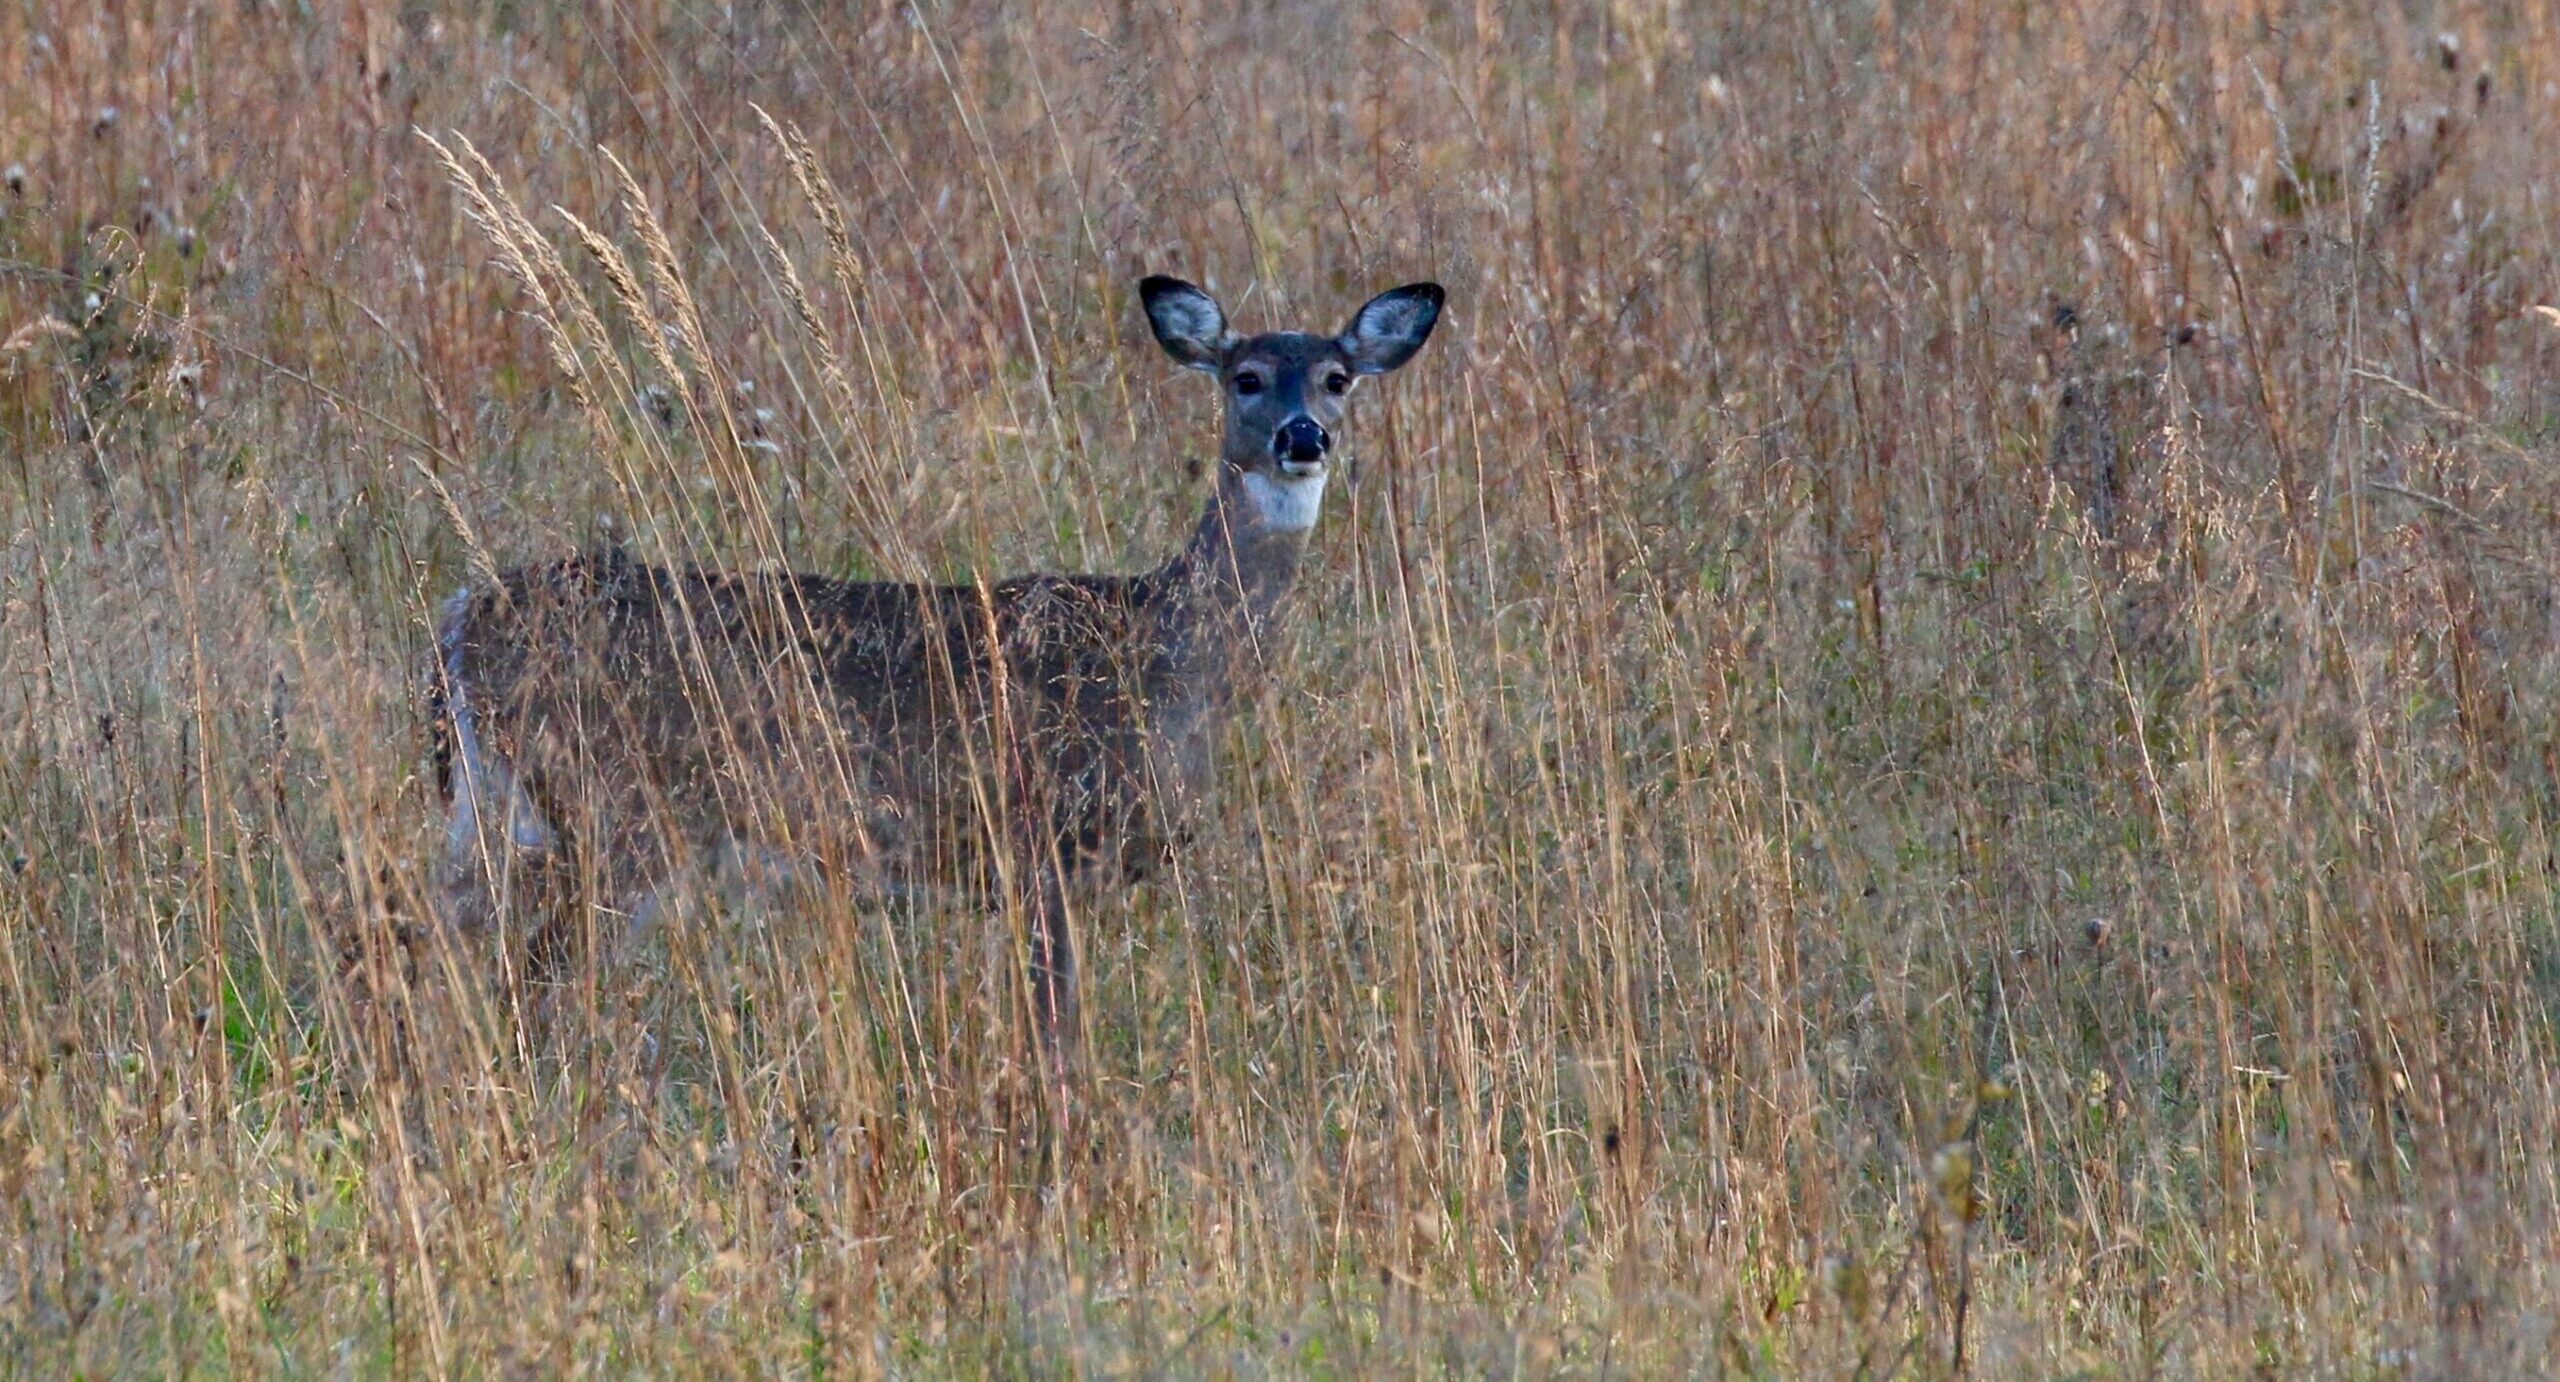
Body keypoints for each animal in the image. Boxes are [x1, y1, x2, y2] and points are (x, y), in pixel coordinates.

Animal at [430, 272, 1454, 1069]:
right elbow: (1054, 1038)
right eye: (1246, 378)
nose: (1303, 437)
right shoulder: (1044, 839)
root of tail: (464, 617)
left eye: (1338, 378)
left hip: (506, 813)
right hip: (622, 810)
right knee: (532, 979)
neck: (1163, 655)